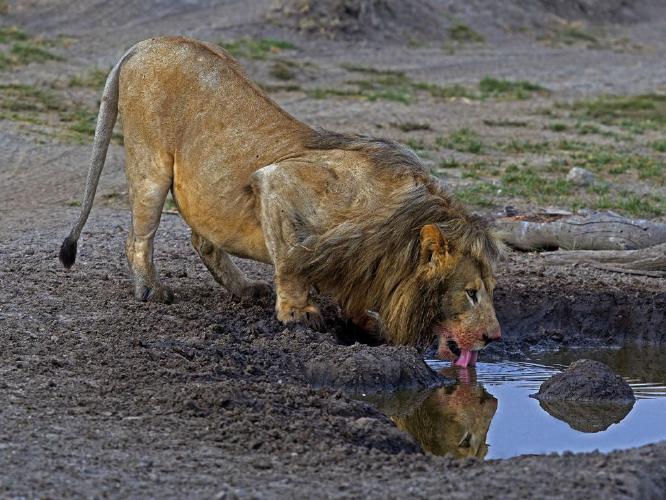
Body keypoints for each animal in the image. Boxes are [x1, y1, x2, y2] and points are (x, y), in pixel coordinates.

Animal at [58, 36, 501, 366]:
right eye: (471, 293)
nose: (494, 337)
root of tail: (146, 43)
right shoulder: (276, 182)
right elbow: (291, 262)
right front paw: (296, 314)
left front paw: (364, 322)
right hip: (150, 163)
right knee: (138, 237)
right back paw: (150, 290)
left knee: (201, 239)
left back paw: (243, 289)